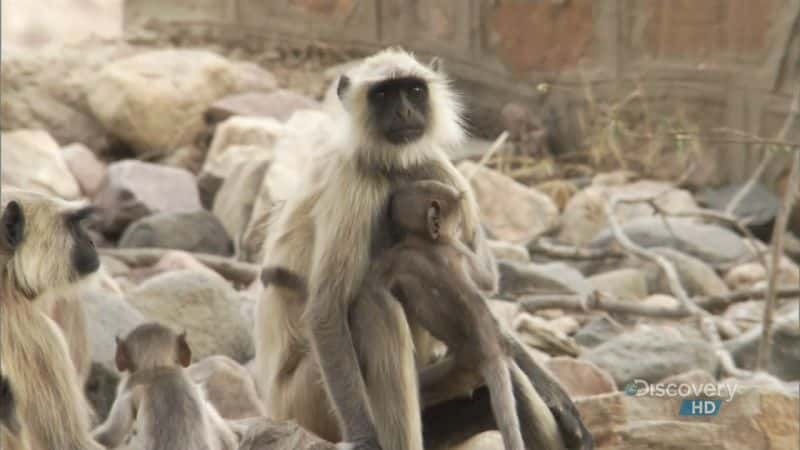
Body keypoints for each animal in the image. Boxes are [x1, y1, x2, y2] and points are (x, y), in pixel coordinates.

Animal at [256, 48, 592, 450]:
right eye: (384, 95)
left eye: (413, 91)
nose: (403, 112)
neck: (390, 167)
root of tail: (275, 404)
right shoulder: (354, 184)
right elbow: (327, 310)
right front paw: (365, 438)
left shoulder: (435, 167)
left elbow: (478, 291)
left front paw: (555, 395)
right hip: (308, 402)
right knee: (373, 305)